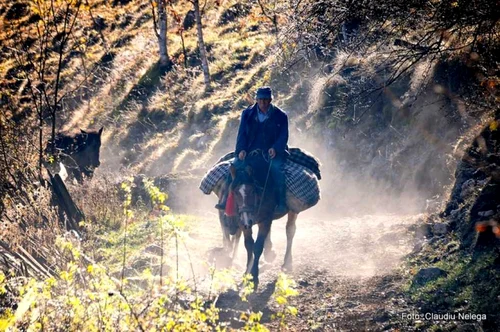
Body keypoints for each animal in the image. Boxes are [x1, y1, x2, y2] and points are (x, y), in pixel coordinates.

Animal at [228, 149, 316, 290]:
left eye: (252, 191)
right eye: (235, 192)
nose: (247, 220)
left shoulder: (265, 220)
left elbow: (258, 246)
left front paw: (254, 276)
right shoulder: (243, 223)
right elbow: (249, 245)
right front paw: (247, 273)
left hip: (292, 211)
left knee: (290, 231)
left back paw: (287, 263)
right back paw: (270, 252)